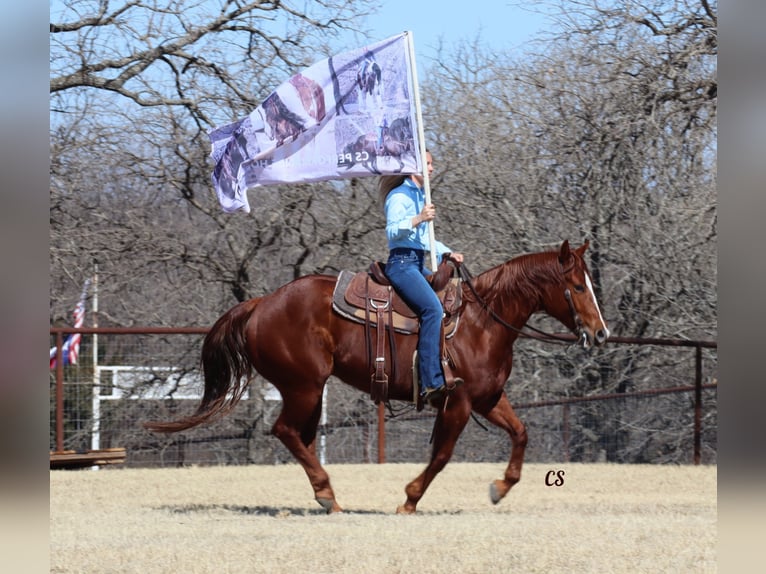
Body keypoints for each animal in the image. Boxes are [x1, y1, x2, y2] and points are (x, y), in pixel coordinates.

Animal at [146, 241, 612, 516]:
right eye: (577, 286)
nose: (601, 333)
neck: (481, 322)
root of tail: (262, 303)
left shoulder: (488, 398)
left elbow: (521, 434)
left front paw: (500, 487)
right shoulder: (458, 404)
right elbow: (442, 456)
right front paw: (409, 499)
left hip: (310, 391)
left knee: (301, 436)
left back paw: (325, 495)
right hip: (304, 386)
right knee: (287, 431)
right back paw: (327, 495)